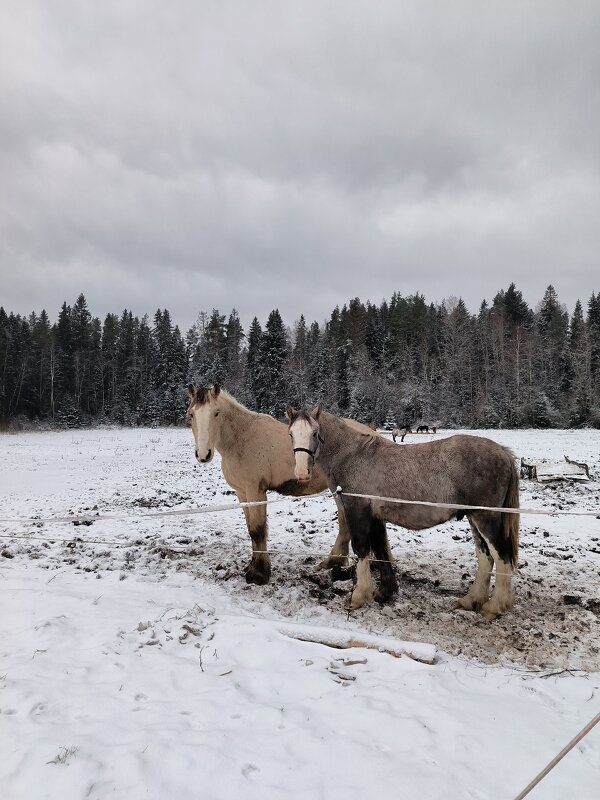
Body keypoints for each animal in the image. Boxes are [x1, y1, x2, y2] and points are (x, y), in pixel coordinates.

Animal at [185, 384, 382, 584]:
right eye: (191, 414)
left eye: (216, 413)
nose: (203, 454)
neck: (241, 438)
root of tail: (372, 435)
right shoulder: (242, 493)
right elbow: (250, 529)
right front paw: (252, 566)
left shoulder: (255, 491)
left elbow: (257, 530)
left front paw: (259, 574)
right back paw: (334, 562)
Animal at [288, 406, 520, 620]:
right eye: (291, 433)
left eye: (315, 433)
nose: (301, 473)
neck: (353, 457)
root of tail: (504, 452)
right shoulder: (375, 517)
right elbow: (381, 550)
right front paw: (384, 592)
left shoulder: (357, 511)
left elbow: (362, 549)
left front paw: (359, 596)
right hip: (474, 518)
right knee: (485, 557)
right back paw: (471, 600)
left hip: (486, 518)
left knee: (502, 557)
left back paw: (494, 607)